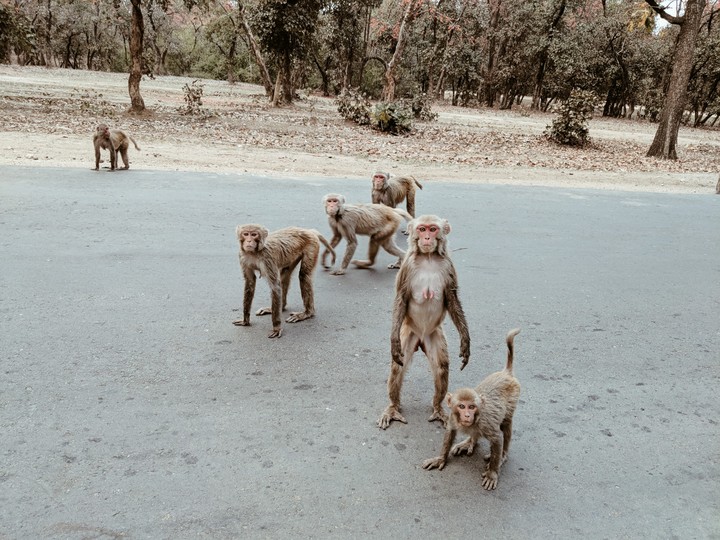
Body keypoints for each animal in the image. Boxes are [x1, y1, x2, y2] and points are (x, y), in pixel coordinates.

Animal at [377, 215, 470, 430]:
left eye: (433, 229)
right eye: (422, 229)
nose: (427, 237)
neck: (428, 258)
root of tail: (420, 339)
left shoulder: (448, 266)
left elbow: (452, 300)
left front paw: (465, 340)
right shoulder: (407, 266)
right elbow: (401, 298)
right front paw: (393, 342)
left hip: (433, 334)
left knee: (442, 367)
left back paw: (438, 408)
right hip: (409, 333)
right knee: (398, 367)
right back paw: (393, 407)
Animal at [422, 328, 521, 491]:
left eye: (472, 407)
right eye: (462, 406)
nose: (468, 415)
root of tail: (506, 373)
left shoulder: (486, 423)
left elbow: (497, 438)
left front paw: (492, 473)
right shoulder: (452, 417)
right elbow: (450, 432)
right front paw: (441, 458)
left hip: (513, 398)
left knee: (506, 424)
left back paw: (503, 455)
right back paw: (470, 442)